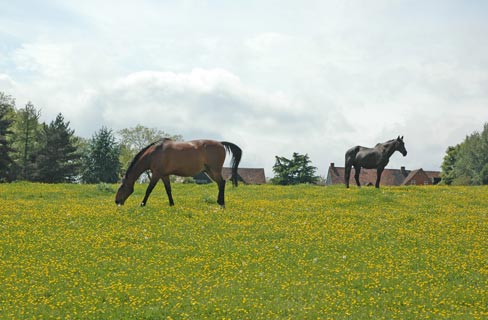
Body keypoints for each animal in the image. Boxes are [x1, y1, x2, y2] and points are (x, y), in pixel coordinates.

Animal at [115, 139, 244, 209]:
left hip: (214, 170)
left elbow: (149, 190)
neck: (155, 153)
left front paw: (142, 204)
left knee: (222, 183)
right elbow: (168, 190)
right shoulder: (164, 175)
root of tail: (221, 143)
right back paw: (221, 203)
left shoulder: (156, 174)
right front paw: (172, 204)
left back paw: (221, 204)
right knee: (220, 183)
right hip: (209, 171)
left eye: (122, 187)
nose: (116, 202)